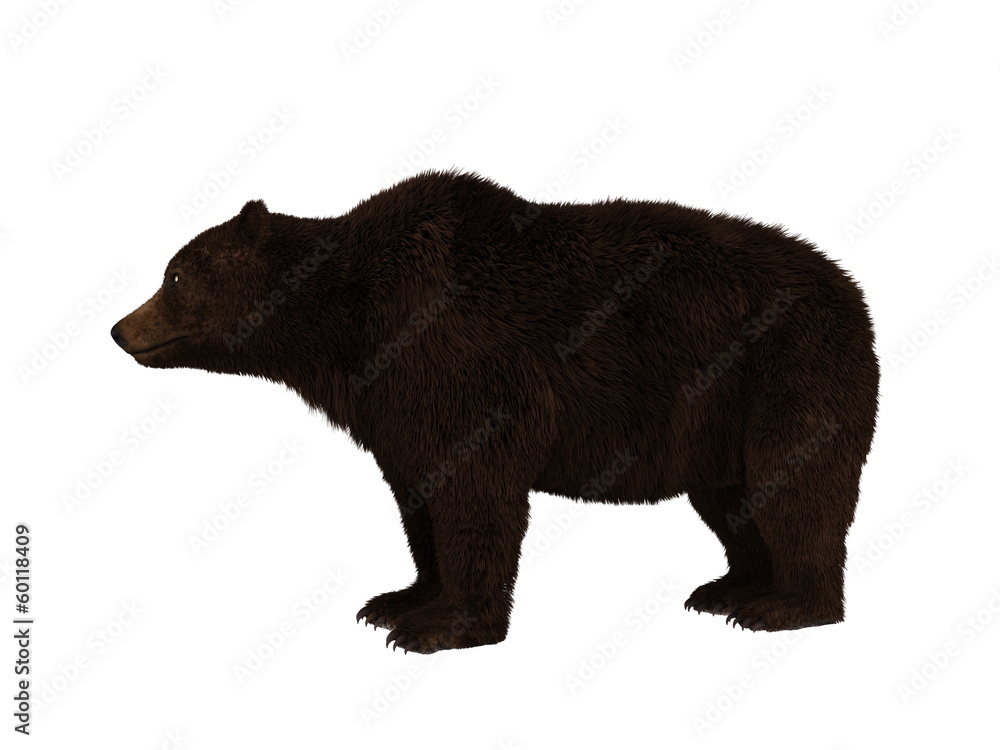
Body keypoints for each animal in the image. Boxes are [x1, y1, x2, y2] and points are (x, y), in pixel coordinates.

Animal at [111, 169, 879, 653]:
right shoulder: (397, 407)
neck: (349, 324)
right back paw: (730, 589)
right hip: (723, 419)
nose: (121, 329)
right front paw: (400, 600)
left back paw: (786, 606)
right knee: (734, 498)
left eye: (173, 274)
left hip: (790, 371)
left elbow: (476, 494)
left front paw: (441, 628)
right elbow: (418, 496)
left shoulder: (457, 367)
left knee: (795, 487)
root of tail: (851, 288)